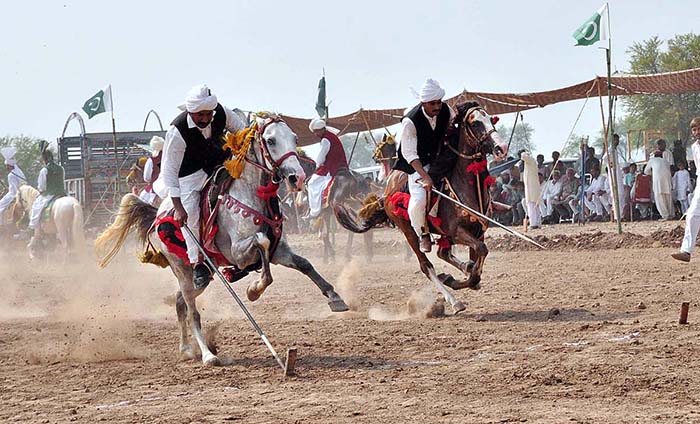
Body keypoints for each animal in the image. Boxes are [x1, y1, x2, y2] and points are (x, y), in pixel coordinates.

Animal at [95, 112, 350, 364]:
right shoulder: (238, 252)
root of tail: (158, 214)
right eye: (270, 140)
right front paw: (254, 290)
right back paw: (207, 355)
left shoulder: (280, 251)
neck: (250, 195)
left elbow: (304, 264)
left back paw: (186, 349)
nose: (297, 177)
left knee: (180, 303)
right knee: (192, 311)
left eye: (295, 138)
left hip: (204, 275)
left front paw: (335, 297)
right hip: (183, 270)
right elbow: (262, 244)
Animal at [334, 103, 506, 314]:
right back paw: (453, 299)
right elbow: (478, 260)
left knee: (443, 254)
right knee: (426, 265)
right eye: (475, 123)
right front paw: (455, 279)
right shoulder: (457, 231)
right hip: (409, 231)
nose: (501, 148)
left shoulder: (478, 232)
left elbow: (477, 264)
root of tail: (387, 191)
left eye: (491, 119)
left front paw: (459, 274)